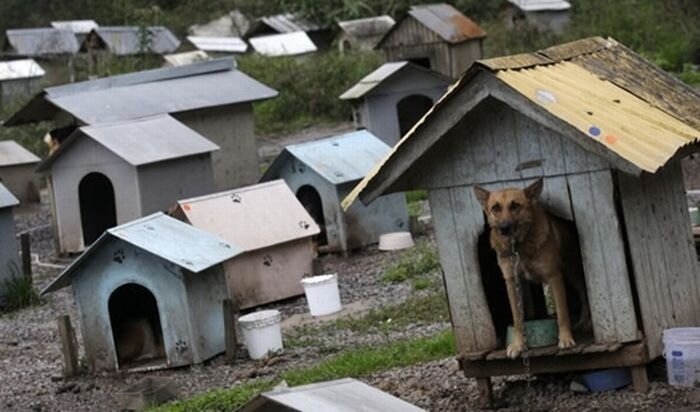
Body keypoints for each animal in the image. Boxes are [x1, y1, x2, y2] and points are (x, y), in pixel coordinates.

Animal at [476, 179, 592, 358]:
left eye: (515, 205)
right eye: (495, 208)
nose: (504, 228)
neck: (519, 246)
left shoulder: (554, 277)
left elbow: (562, 313)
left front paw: (565, 338)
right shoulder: (512, 282)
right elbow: (517, 319)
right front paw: (518, 344)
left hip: (572, 273)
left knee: (583, 294)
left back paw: (584, 322)